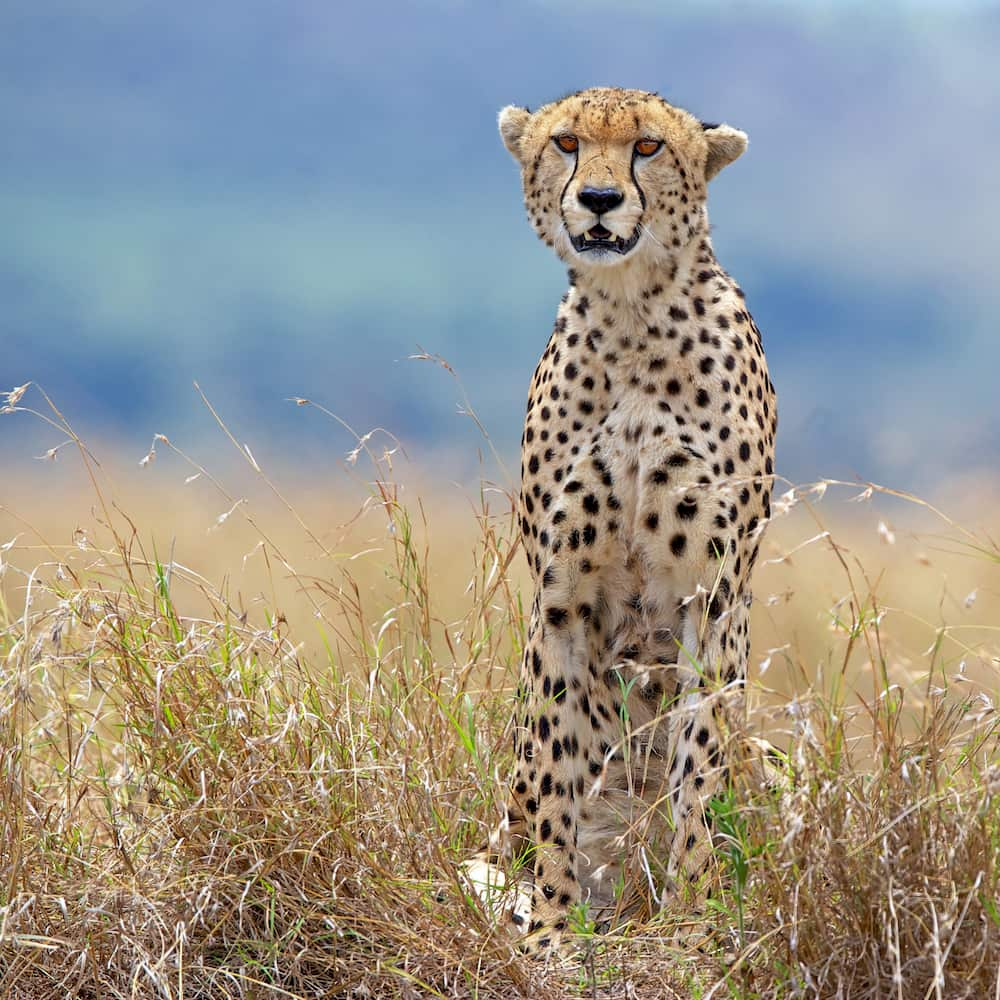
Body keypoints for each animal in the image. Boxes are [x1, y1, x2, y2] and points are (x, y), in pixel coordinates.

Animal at [472, 84, 776, 944]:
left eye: (646, 147)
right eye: (567, 142)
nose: (601, 200)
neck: (633, 314)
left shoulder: (714, 594)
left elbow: (700, 769)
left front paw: (696, 915)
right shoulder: (563, 598)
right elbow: (558, 773)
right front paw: (551, 924)